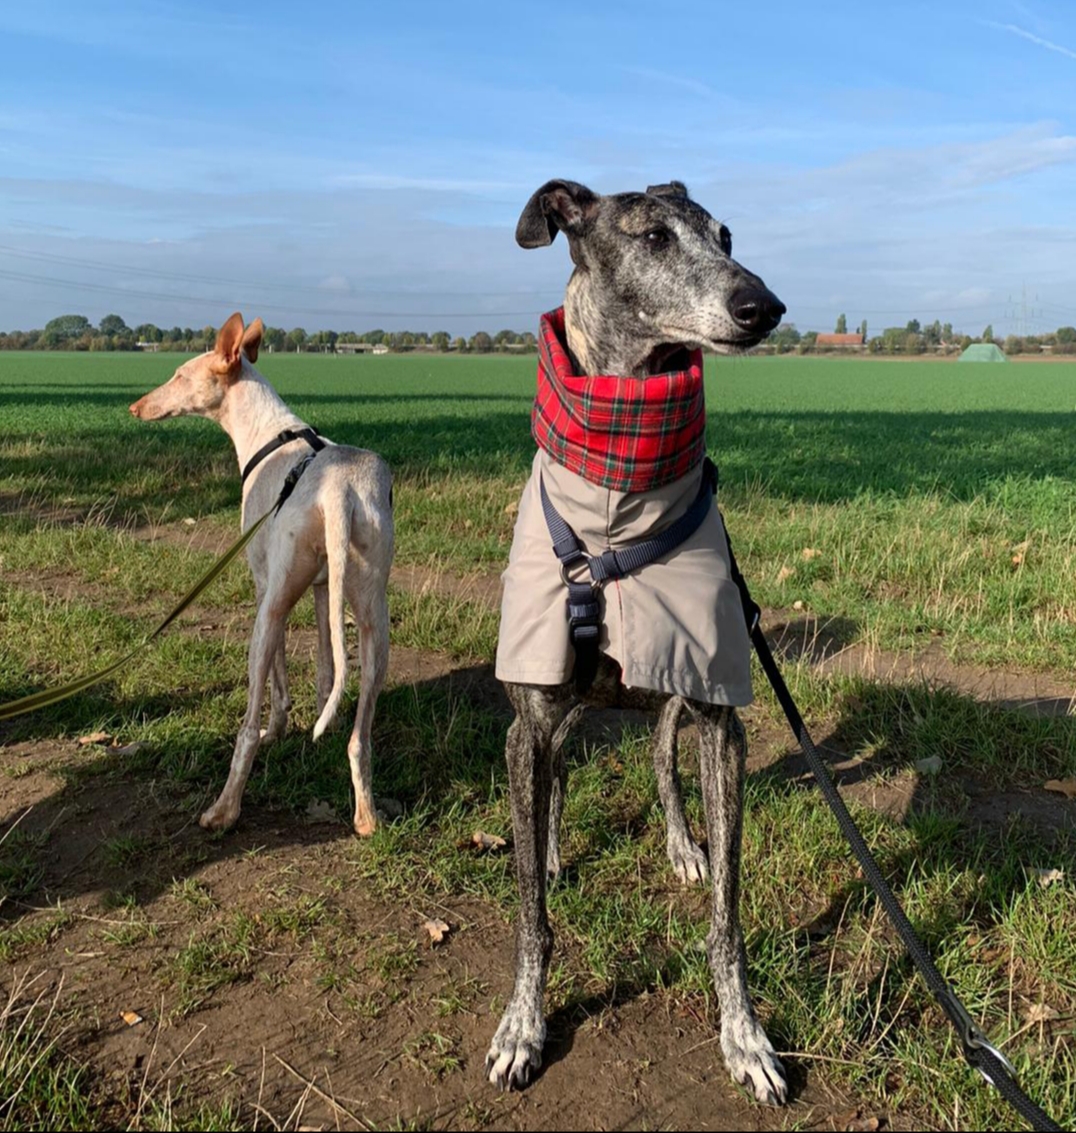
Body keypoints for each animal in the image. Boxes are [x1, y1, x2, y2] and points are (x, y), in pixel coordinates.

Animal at [130, 313, 394, 837]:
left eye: (178, 375)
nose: (135, 407)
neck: (270, 430)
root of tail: (339, 490)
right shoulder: (321, 589)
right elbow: (326, 667)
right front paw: (323, 722)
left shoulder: (263, 587)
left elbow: (279, 681)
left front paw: (280, 729)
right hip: (374, 615)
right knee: (361, 736)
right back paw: (366, 815)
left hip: (268, 613)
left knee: (246, 728)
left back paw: (224, 808)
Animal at [485, 180, 788, 1105]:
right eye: (653, 237)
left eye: (728, 236)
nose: (763, 306)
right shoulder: (528, 718)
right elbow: (530, 914)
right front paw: (522, 1025)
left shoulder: (722, 718)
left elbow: (728, 911)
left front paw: (744, 1035)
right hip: (564, 705)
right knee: (556, 777)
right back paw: (550, 846)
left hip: (669, 693)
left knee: (659, 757)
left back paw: (683, 843)